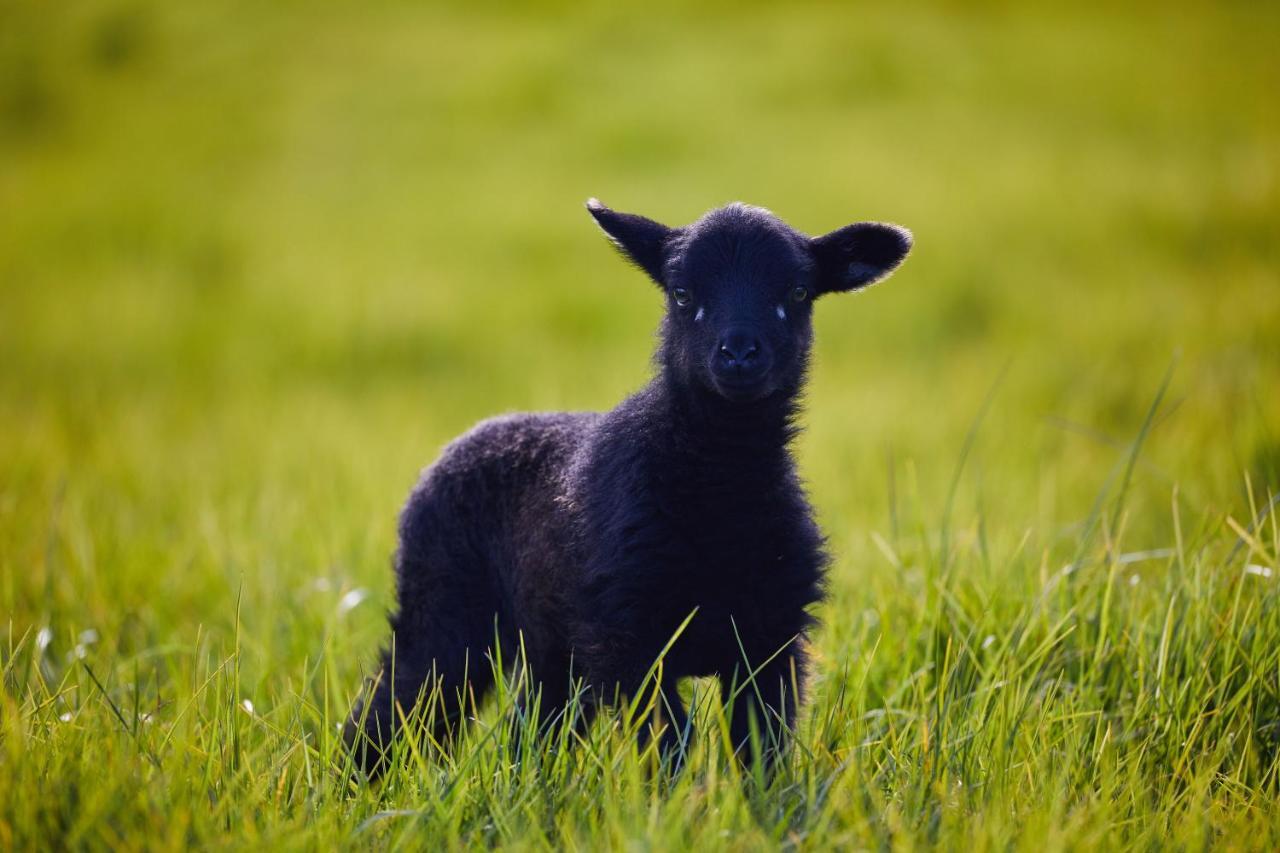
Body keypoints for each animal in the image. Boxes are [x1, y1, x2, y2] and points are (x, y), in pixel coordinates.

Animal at [348, 199, 911, 768]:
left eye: (797, 292)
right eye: (682, 294)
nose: (738, 354)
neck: (719, 483)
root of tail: (468, 437)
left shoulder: (771, 637)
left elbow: (761, 749)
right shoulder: (629, 635)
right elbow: (670, 744)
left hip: (550, 646)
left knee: (532, 729)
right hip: (444, 612)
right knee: (395, 706)